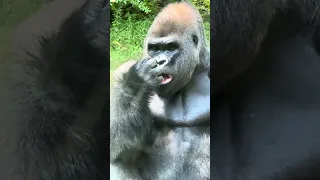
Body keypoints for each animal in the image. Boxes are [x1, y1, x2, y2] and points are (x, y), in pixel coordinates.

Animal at [110, 1, 210, 180]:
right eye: (154, 48)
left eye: (171, 47)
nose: (160, 61)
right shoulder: (121, 72)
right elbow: (115, 142)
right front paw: (138, 81)